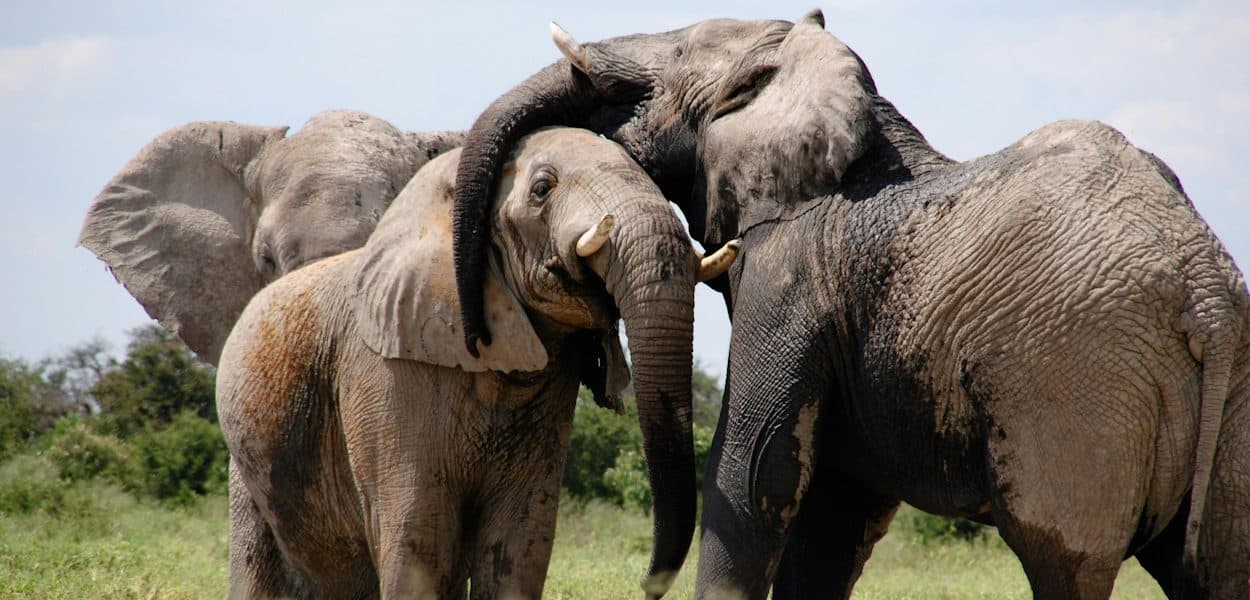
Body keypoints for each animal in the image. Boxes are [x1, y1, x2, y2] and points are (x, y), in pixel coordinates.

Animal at [215, 126, 739, 598]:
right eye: (542, 189)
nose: (647, 586)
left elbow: (521, 541)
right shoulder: (383, 374)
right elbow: (420, 540)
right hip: (246, 464)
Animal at [446, 11, 1250, 599]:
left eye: (673, 53)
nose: (478, 334)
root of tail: (1204, 292)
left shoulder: (791, 270)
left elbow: (756, 471)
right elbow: (833, 508)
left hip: (1076, 386)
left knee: (1063, 562)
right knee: (1215, 568)